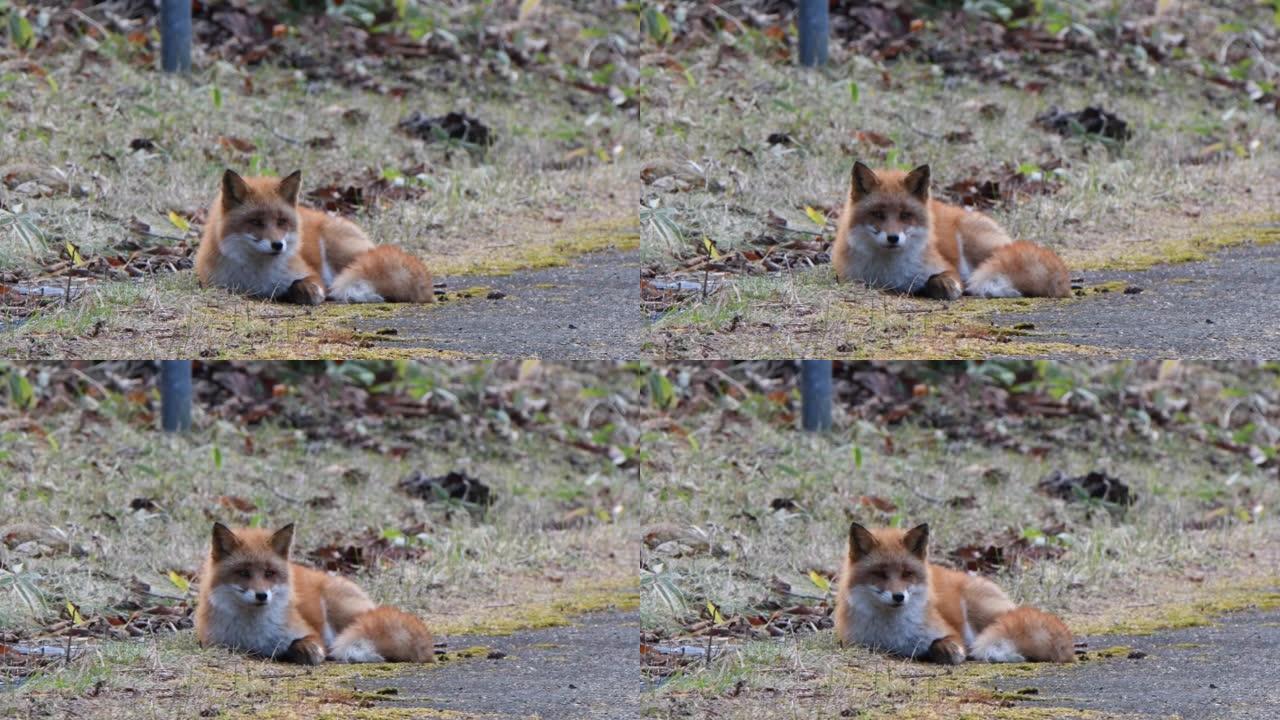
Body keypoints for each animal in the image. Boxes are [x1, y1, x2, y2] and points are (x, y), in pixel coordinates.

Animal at [194, 167, 435, 302]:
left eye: (282, 221)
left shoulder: (309, 273)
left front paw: (309, 292)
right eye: (255, 222)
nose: (277, 245)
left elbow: (302, 284)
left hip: (341, 253)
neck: (257, 273)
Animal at [194, 520, 435, 661]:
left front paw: (305, 652)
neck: (252, 631)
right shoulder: (215, 643)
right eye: (243, 573)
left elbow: (304, 646)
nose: (262, 595)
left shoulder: (308, 633)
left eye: (270, 573)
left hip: (343, 613)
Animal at [829, 162, 1070, 297]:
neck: (889, 270)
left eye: (905, 215)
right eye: (878, 214)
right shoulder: (850, 277)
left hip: (979, 248)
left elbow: (938, 279)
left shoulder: (945, 267)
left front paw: (946, 286)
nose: (893, 238)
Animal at [834, 520, 1075, 661]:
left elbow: (942, 644)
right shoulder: (857, 643)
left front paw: (950, 652)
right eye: (880, 574)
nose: (899, 596)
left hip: (982, 613)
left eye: (907, 573)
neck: (891, 631)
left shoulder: (949, 633)